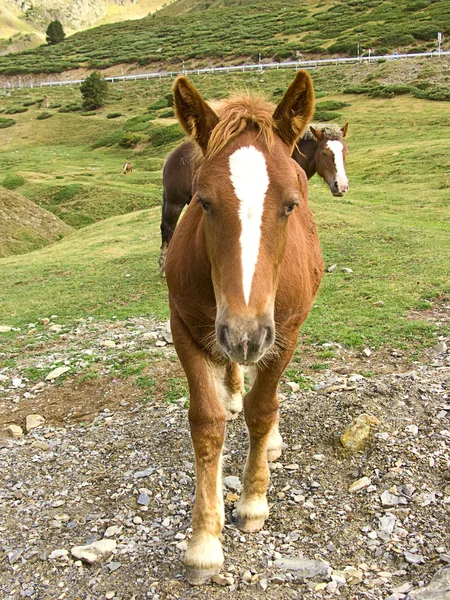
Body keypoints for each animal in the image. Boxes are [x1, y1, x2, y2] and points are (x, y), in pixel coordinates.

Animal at [158, 122, 348, 276]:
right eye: (325, 153)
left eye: (344, 151)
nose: (341, 186)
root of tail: (173, 155)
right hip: (175, 202)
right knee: (168, 228)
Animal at [165, 71, 324, 584]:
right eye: (202, 200)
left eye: (291, 204)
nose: (245, 332)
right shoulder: (183, 327)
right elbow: (207, 422)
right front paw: (204, 541)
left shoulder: (285, 332)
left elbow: (263, 408)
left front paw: (253, 501)